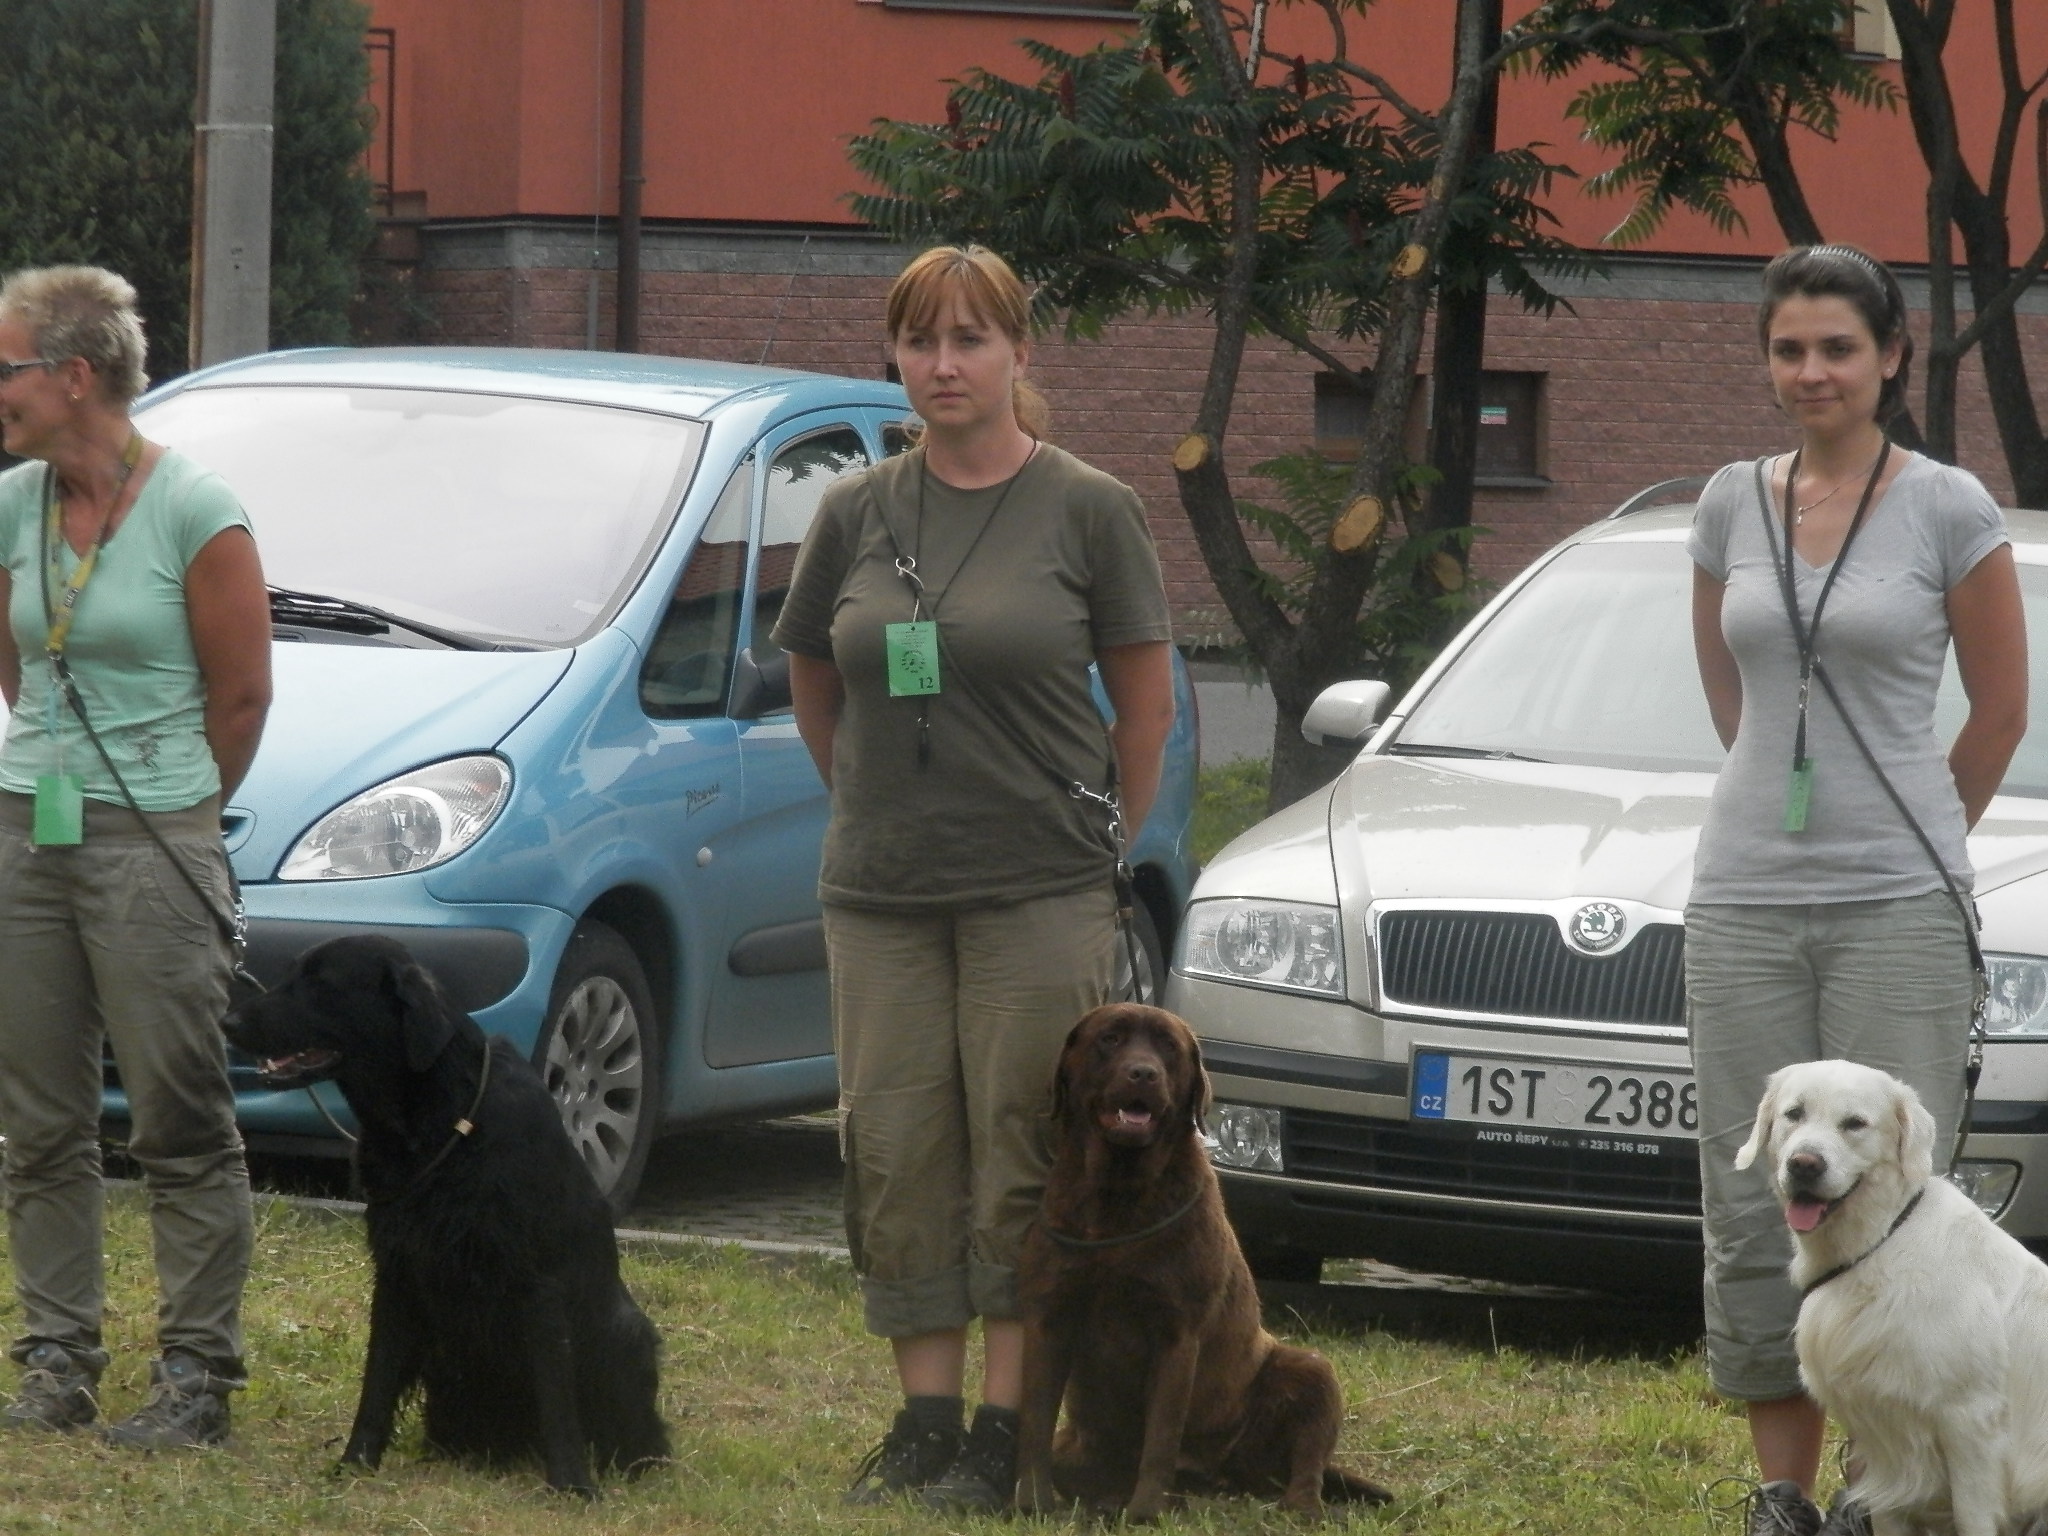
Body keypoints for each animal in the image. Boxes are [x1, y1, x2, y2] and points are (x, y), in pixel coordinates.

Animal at [227, 933, 667, 1499]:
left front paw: (572, 1484)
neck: (442, 1124)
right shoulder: (396, 1273)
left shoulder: (539, 1282)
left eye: (321, 983)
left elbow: (556, 1395)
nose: (229, 1022)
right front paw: (355, 1463)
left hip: (626, 1332)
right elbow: (377, 1382)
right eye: (291, 973)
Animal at [1011, 1003, 1392, 1523]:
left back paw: (1295, 1505)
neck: (1118, 1194)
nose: (1143, 1073)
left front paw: (1145, 1511)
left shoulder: (1177, 1334)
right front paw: (1032, 1501)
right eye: (1110, 1039)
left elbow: (1161, 1435)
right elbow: (1035, 1420)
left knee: (1307, 1462)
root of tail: (1221, 1476)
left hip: (1309, 1368)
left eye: (1168, 1046)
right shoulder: (1048, 1319)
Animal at [1736, 1064, 2048, 1531]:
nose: (1804, 1165)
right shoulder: (1884, 1441)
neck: (1879, 1240)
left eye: (1855, 1124)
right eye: (1794, 1113)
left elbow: (1973, 1518)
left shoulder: (1971, 1423)